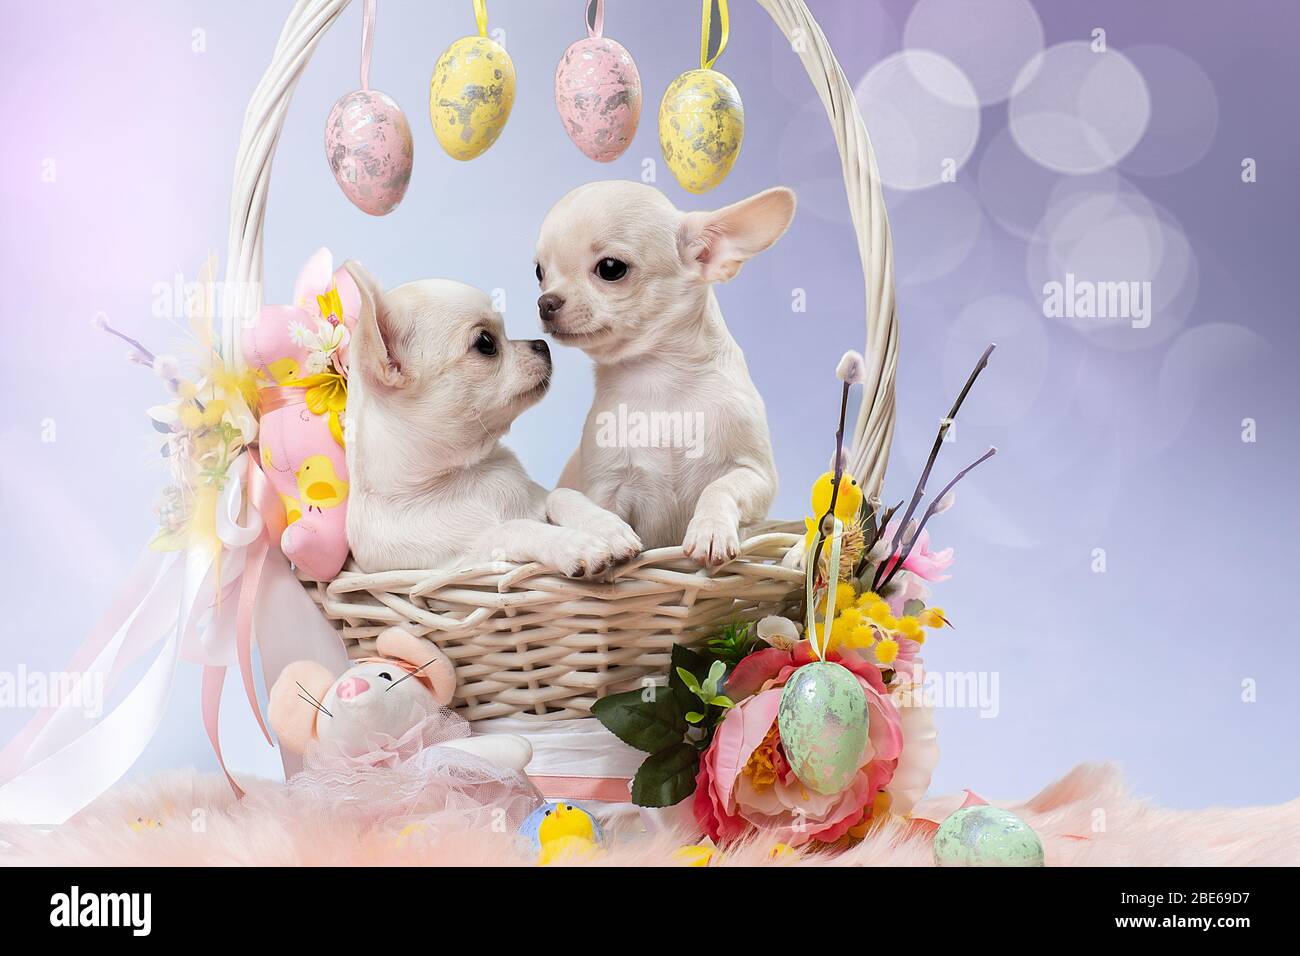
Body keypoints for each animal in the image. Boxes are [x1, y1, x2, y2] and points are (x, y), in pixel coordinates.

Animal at [338, 261, 637, 574]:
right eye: (486, 343)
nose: (542, 344)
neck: (467, 473)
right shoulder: (458, 565)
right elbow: (512, 528)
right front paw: (576, 543)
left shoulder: (541, 496)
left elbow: (561, 494)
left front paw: (608, 528)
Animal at [533, 183, 795, 564]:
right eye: (539, 272)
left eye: (611, 268)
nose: (545, 302)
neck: (659, 379)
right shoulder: (606, 487)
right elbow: (591, 508)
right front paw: (609, 533)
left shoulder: (755, 475)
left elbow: (720, 487)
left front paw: (710, 530)